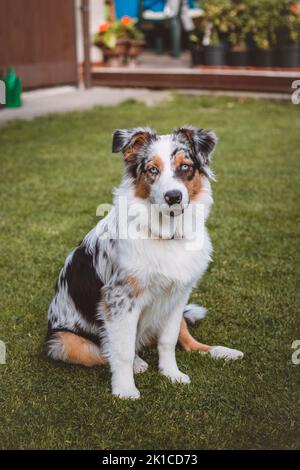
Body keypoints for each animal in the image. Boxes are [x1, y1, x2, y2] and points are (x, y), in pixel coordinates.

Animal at [45, 126, 244, 398]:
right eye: (152, 170)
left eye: (185, 166)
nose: (173, 197)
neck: (167, 233)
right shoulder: (120, 300)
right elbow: (122, 351)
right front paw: (125, 390)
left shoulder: (178, 295)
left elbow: (169, 340)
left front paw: (171, 374)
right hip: (63, 341)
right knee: (104, 350)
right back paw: (138, 364)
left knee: (188, 341)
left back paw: (223, 352)